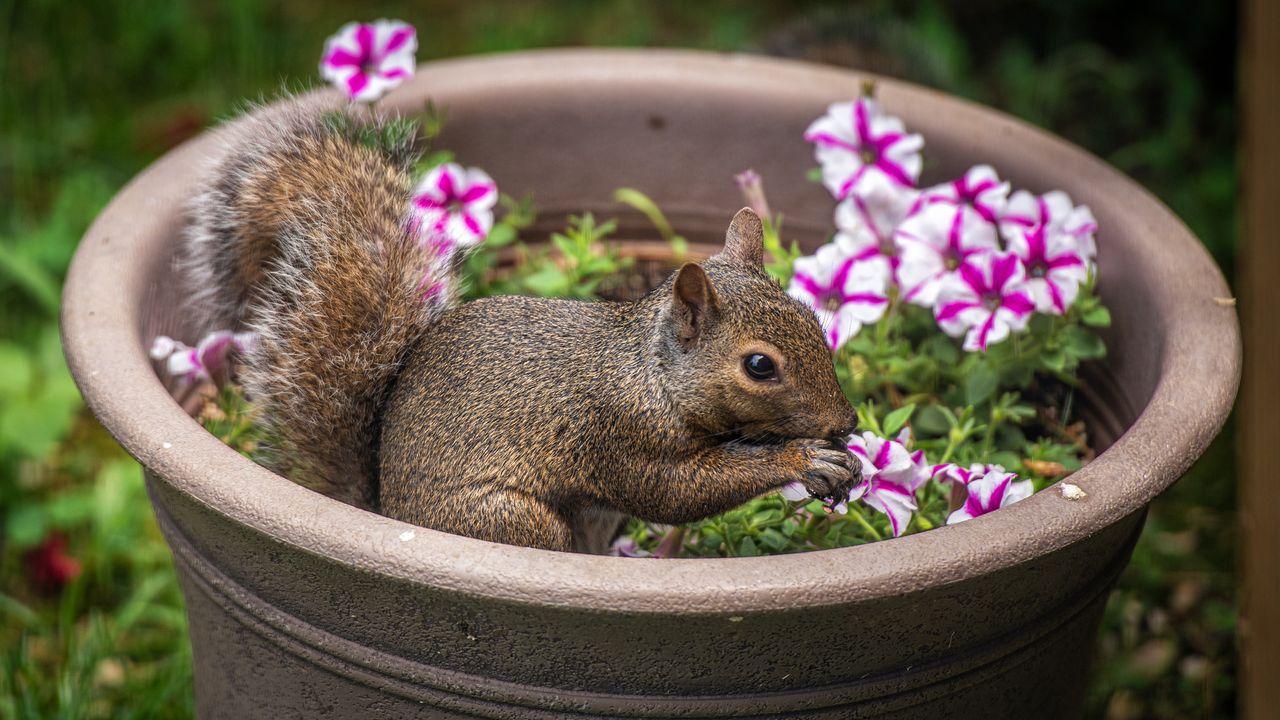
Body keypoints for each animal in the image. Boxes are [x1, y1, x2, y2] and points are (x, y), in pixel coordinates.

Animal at [183, 95, 860, 550]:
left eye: (811, 316)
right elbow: (674, 492)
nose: (848, 423)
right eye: (759, 365)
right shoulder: (620, 434)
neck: (652, 375)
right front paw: (804, 459)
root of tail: (388, 512)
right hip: (511, 520)